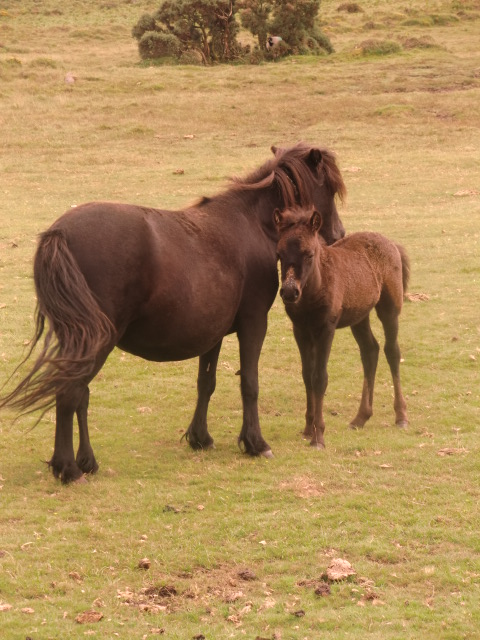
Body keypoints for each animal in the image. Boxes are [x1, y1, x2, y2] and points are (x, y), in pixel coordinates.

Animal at [0, 144, 344, 484]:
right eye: (329, 187)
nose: (339, 234)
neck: (251, 224)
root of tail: (60, 232)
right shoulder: (254, 322)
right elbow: (249, 382)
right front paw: (255, 443)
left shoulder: (213, 334)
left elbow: (206, 383)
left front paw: (200, 437)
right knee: (70, 393)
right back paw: (69, 469)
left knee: (78, 394)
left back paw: (84, 462)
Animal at [274, 205, 408, 450]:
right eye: (279, 254)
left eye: (309, 254)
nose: (289, 292)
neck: (314, 288)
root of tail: (392, 243)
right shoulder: (300, 330)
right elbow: (307, 375)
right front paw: (308, 429)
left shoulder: (326, 329)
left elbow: (319, 377)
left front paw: (318, 436)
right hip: (359, 316)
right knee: (370, 351)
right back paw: (360, 417)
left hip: (389, 308)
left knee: (391, 351)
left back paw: (401, 416)